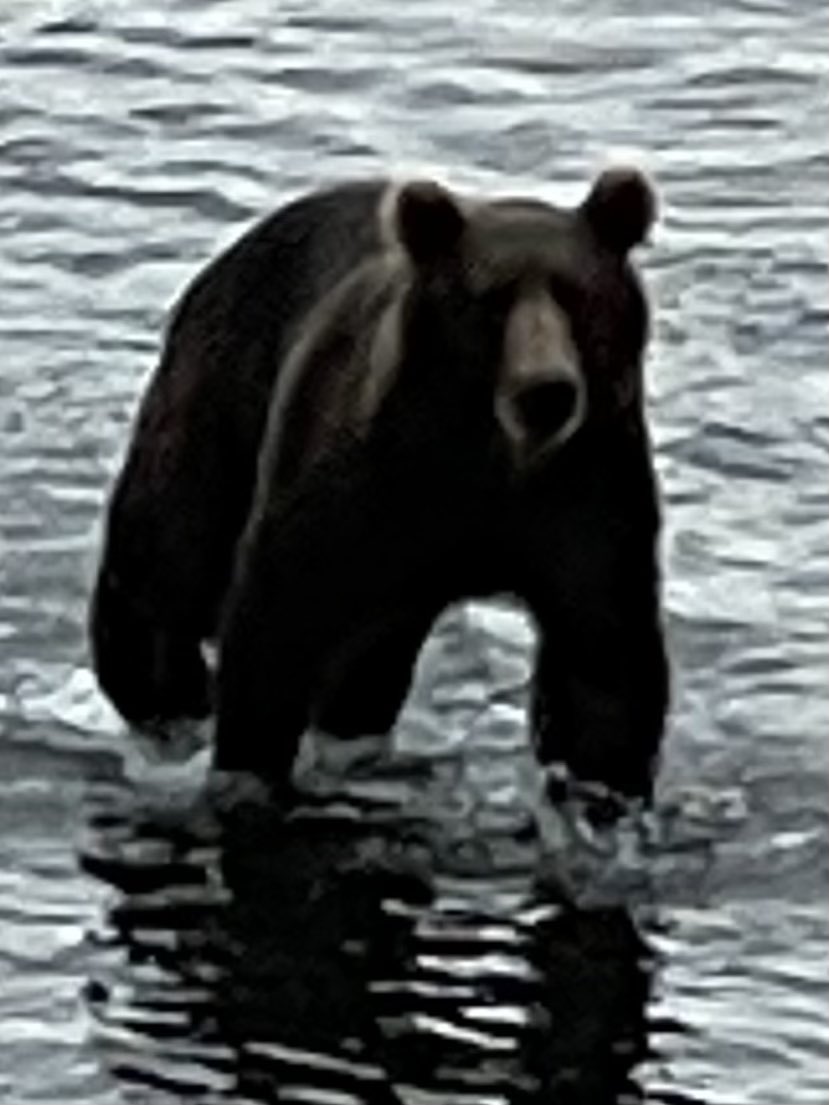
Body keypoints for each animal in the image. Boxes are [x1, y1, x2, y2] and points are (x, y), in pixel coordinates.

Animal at [90, 167, 669, 801]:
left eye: (578, 295)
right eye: (489, 300)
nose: (546, 392)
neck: (492, 456)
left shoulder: (585, 489)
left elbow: (602, 658)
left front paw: (599, 788)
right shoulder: (367, 480)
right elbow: (276, 622)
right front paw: (247, 773)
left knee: (368, 661)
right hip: (223, 388)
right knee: (170, 556)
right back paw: (164, 701)